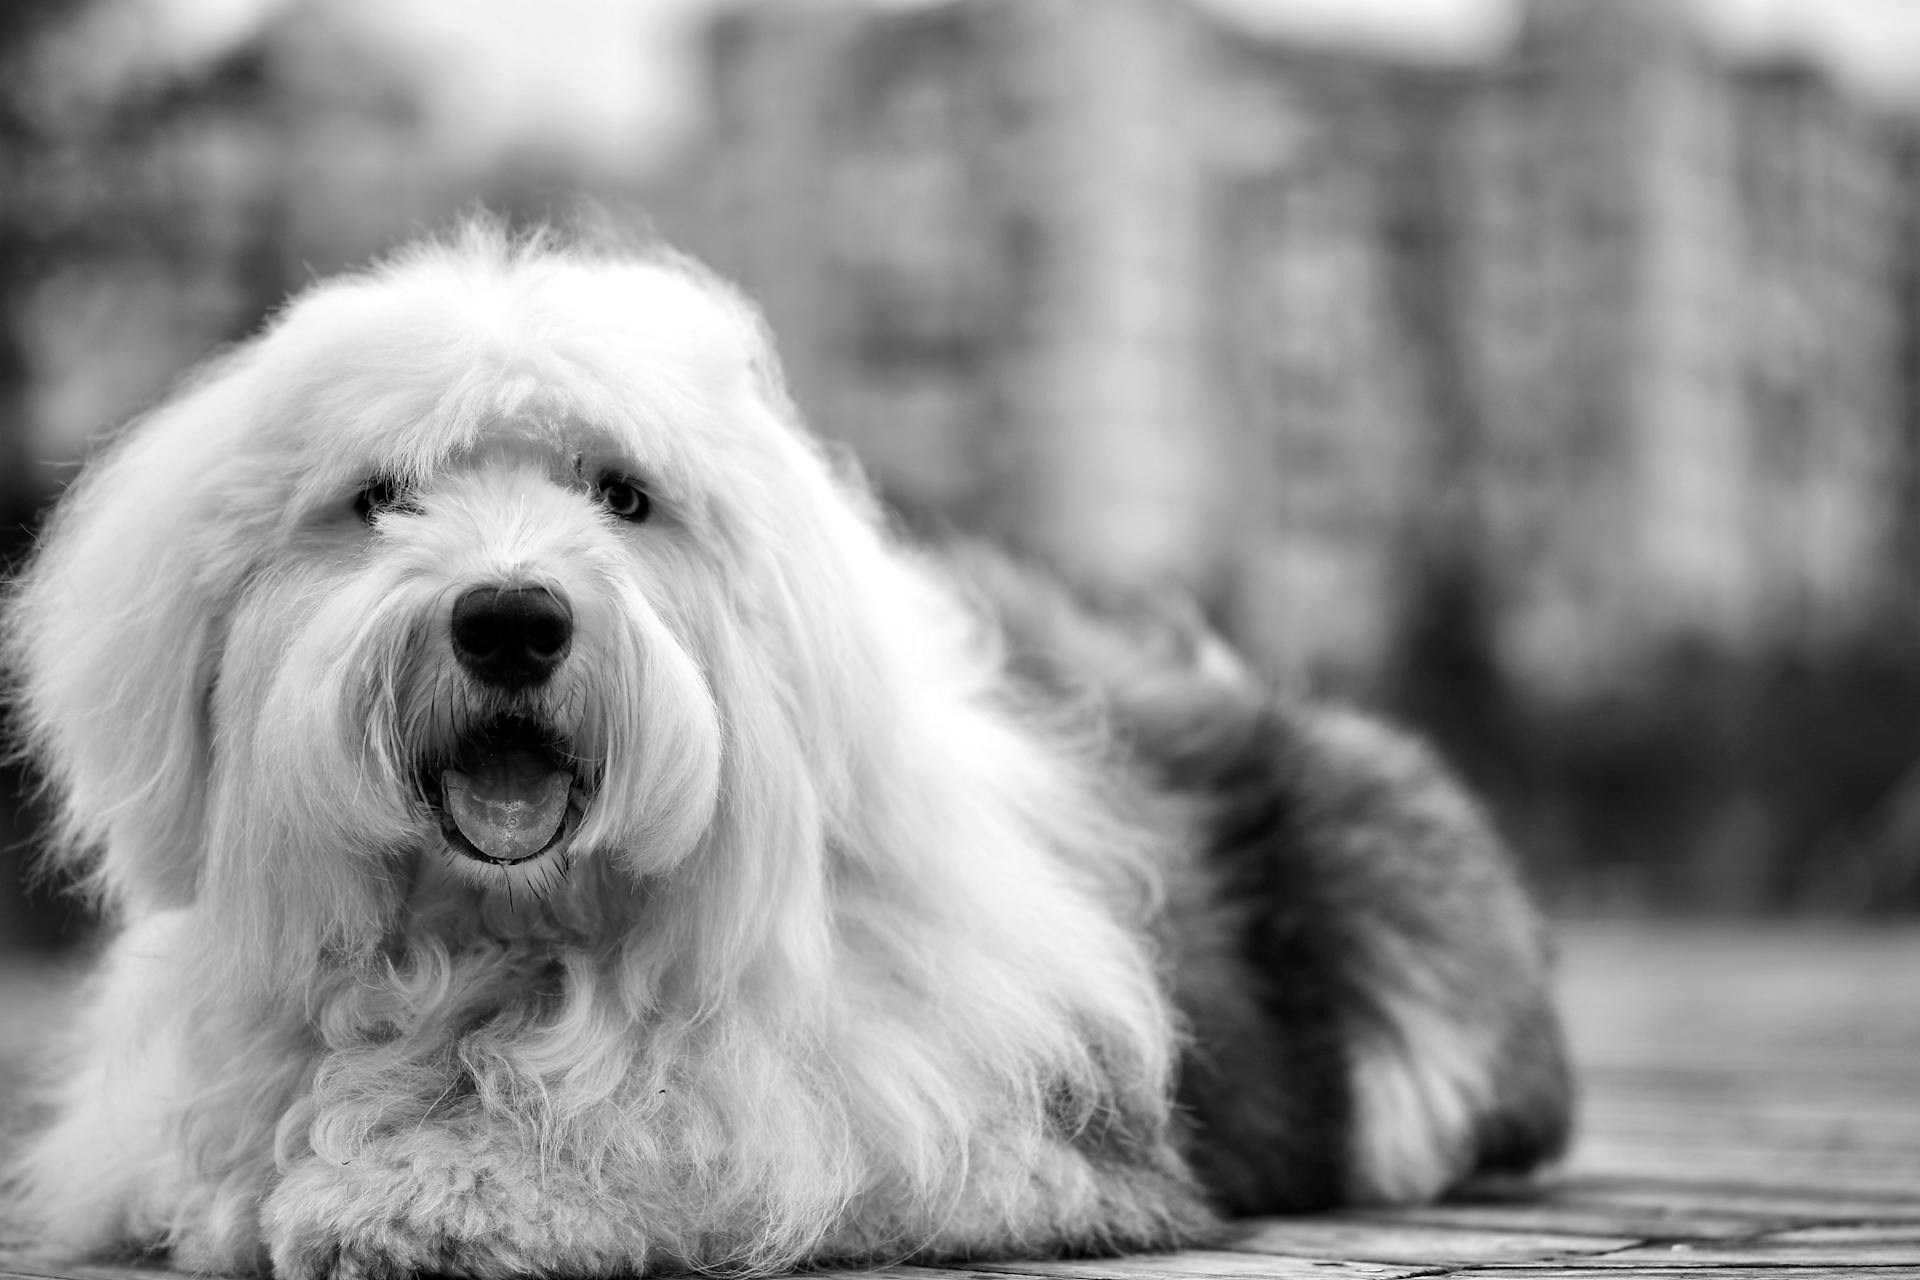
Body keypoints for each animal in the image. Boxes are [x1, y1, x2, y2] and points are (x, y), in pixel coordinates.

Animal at [3, 225, 1574, 1274]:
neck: (506, 936)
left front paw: (436, 1191)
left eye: (623, 494)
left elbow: (681, 1135)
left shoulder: (958, 1124)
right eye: (380, 496)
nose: (510, 617)